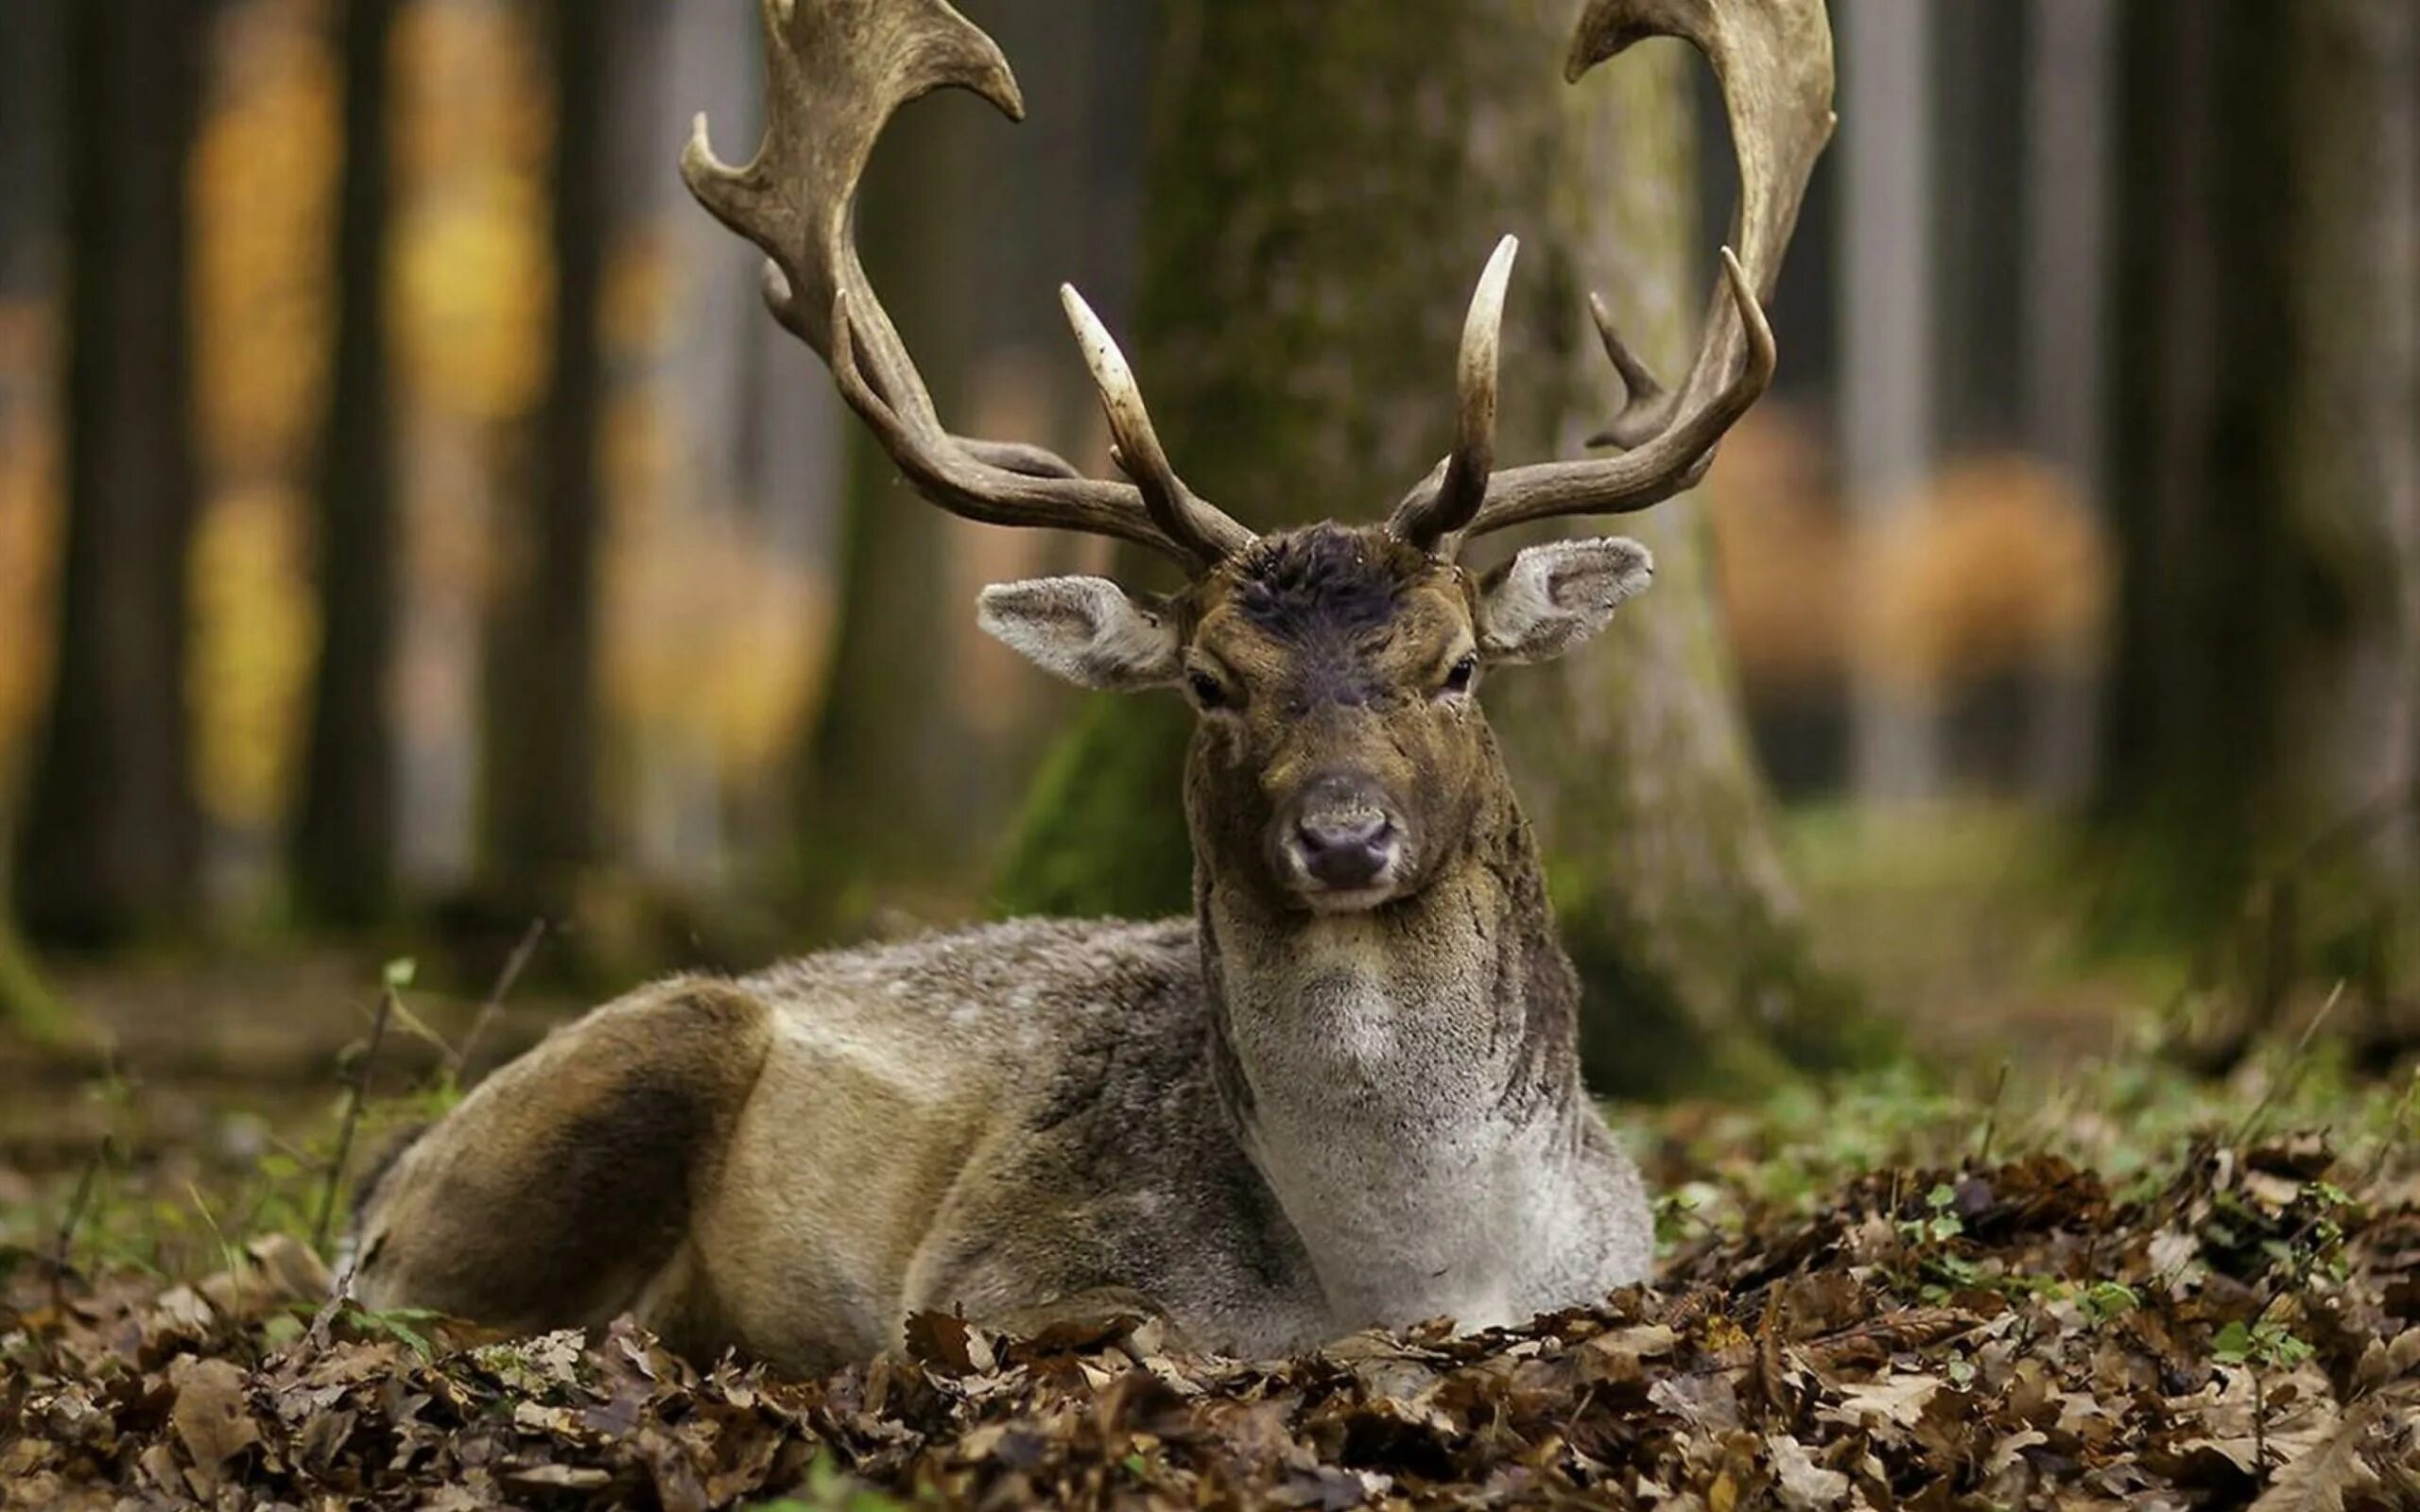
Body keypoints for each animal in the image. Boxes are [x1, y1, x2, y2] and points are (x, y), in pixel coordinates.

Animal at [346, 0, 1829, 1364]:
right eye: (1210, 683)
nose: (1344, 838)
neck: (1413, 1276)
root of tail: (382, 1174)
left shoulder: (1620, 1266)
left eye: (1456, 666)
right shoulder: (990, 1271)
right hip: (629, 1064)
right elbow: (1147, 1332)